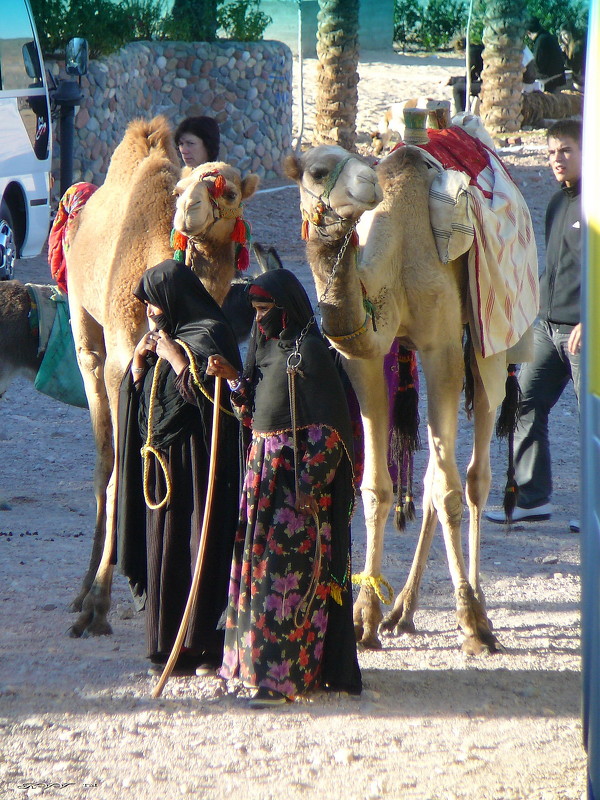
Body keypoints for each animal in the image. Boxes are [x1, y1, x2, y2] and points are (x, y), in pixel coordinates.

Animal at [64, 115, 258, 636]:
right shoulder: (120, 361)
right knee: (103, 457)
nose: (189, 210)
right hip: (82, 322)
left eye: (230, 190)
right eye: (179, 191)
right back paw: (84, 589)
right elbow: (118, 473)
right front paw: (98, 604)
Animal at [284, 142, 536, 656]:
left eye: (361, 159)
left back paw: (479, 607)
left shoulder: (442, 347)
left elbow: (450, 489)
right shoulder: (366, 358)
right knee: (431, 478)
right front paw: (364, 619)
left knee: (473, 477)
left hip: (490, 341)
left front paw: (469, 622)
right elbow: (377, 489)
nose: (368, 184)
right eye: (317, 170)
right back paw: (402, 610)